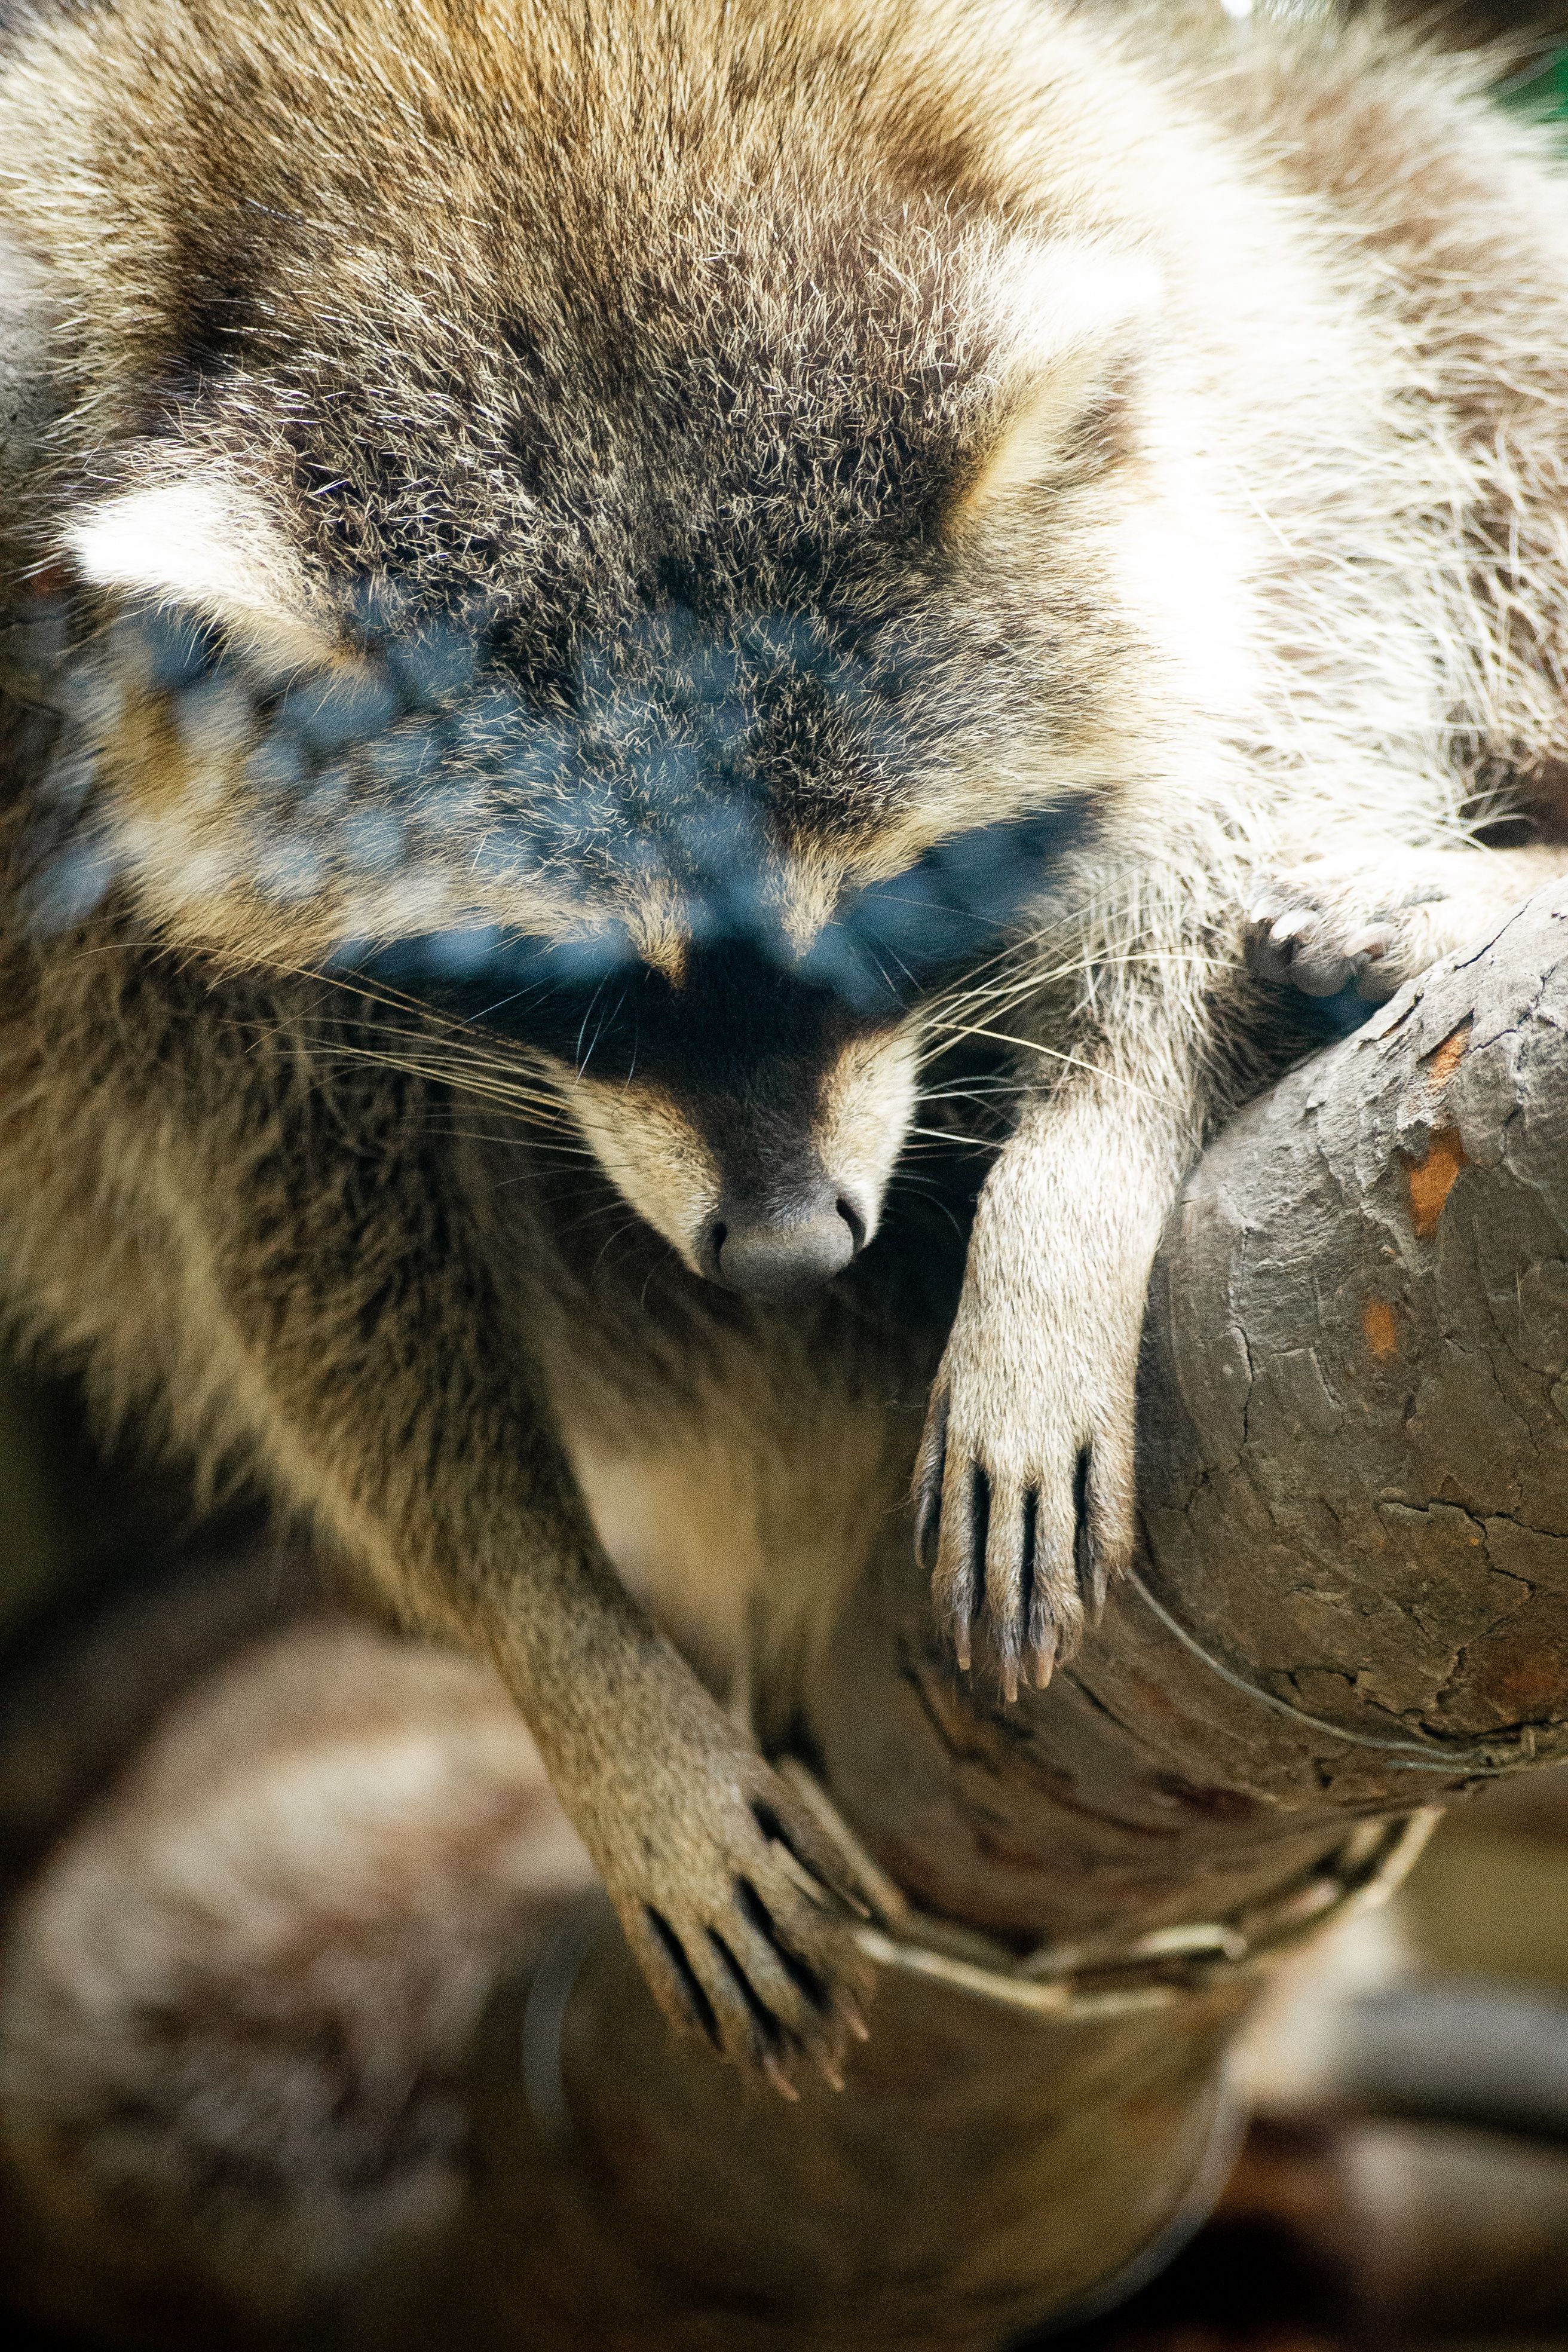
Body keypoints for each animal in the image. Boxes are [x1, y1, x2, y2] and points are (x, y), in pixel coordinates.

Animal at [2, 0, 1568, 2089]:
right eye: (581, 974)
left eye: (891, 899)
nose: (784, 1250)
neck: (528, 168)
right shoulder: (48, 769)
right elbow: (269, 1227)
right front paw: (563, 1644)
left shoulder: (1203, 291)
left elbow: (1273, 673)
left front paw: (1074, 1184)